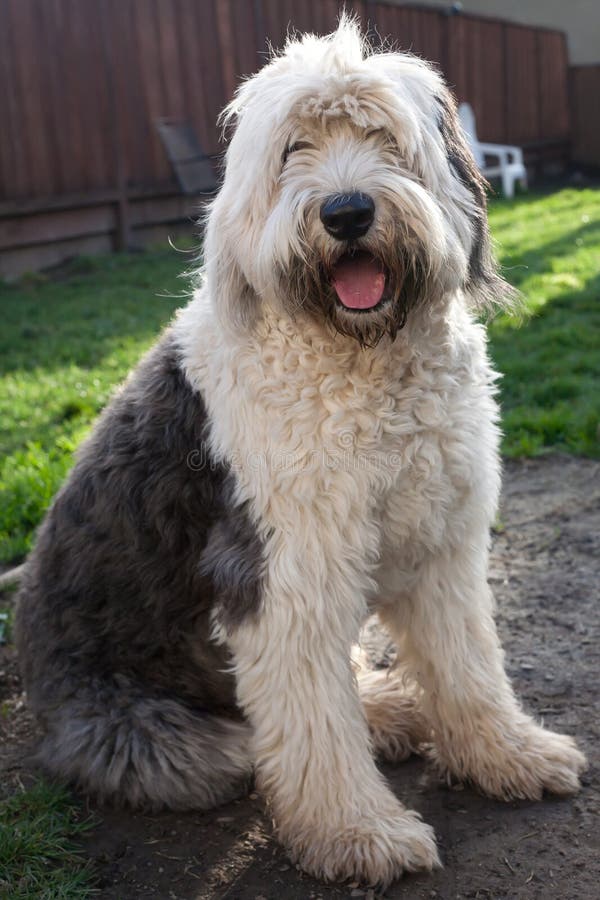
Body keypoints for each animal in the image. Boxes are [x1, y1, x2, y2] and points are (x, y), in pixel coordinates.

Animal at [17, 19, 584, 884]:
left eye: (385, 139)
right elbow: (313, 721)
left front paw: (509, 754)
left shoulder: (442, 545)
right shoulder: (283, 571)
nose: (347, 212)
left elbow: (468, 665)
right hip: (148, 729)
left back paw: (385, 707)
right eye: (294, 149)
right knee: (225, 746)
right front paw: (358, 834)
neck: (360, 363)